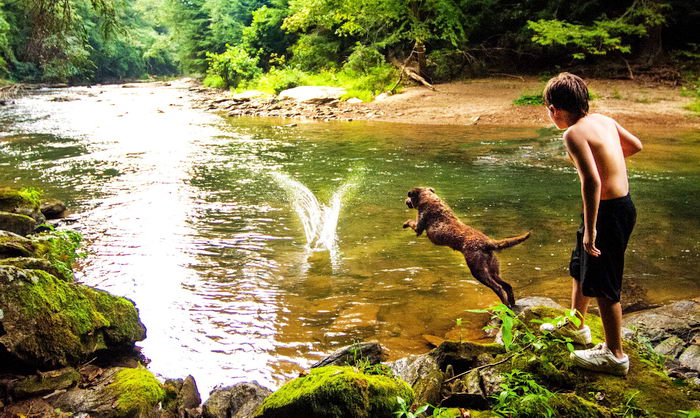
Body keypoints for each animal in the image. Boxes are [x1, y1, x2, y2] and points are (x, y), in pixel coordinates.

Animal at [404, 187, 532, 306]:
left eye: (409, 196)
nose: (405, 201)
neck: (429, 198)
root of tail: (488, 242)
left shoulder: (419, 226)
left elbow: (411, 222)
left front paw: (405, 223)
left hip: (478, 270)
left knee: (498, 288)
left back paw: (505, 305)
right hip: (493, 269)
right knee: (507, 285)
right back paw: (512, 304)